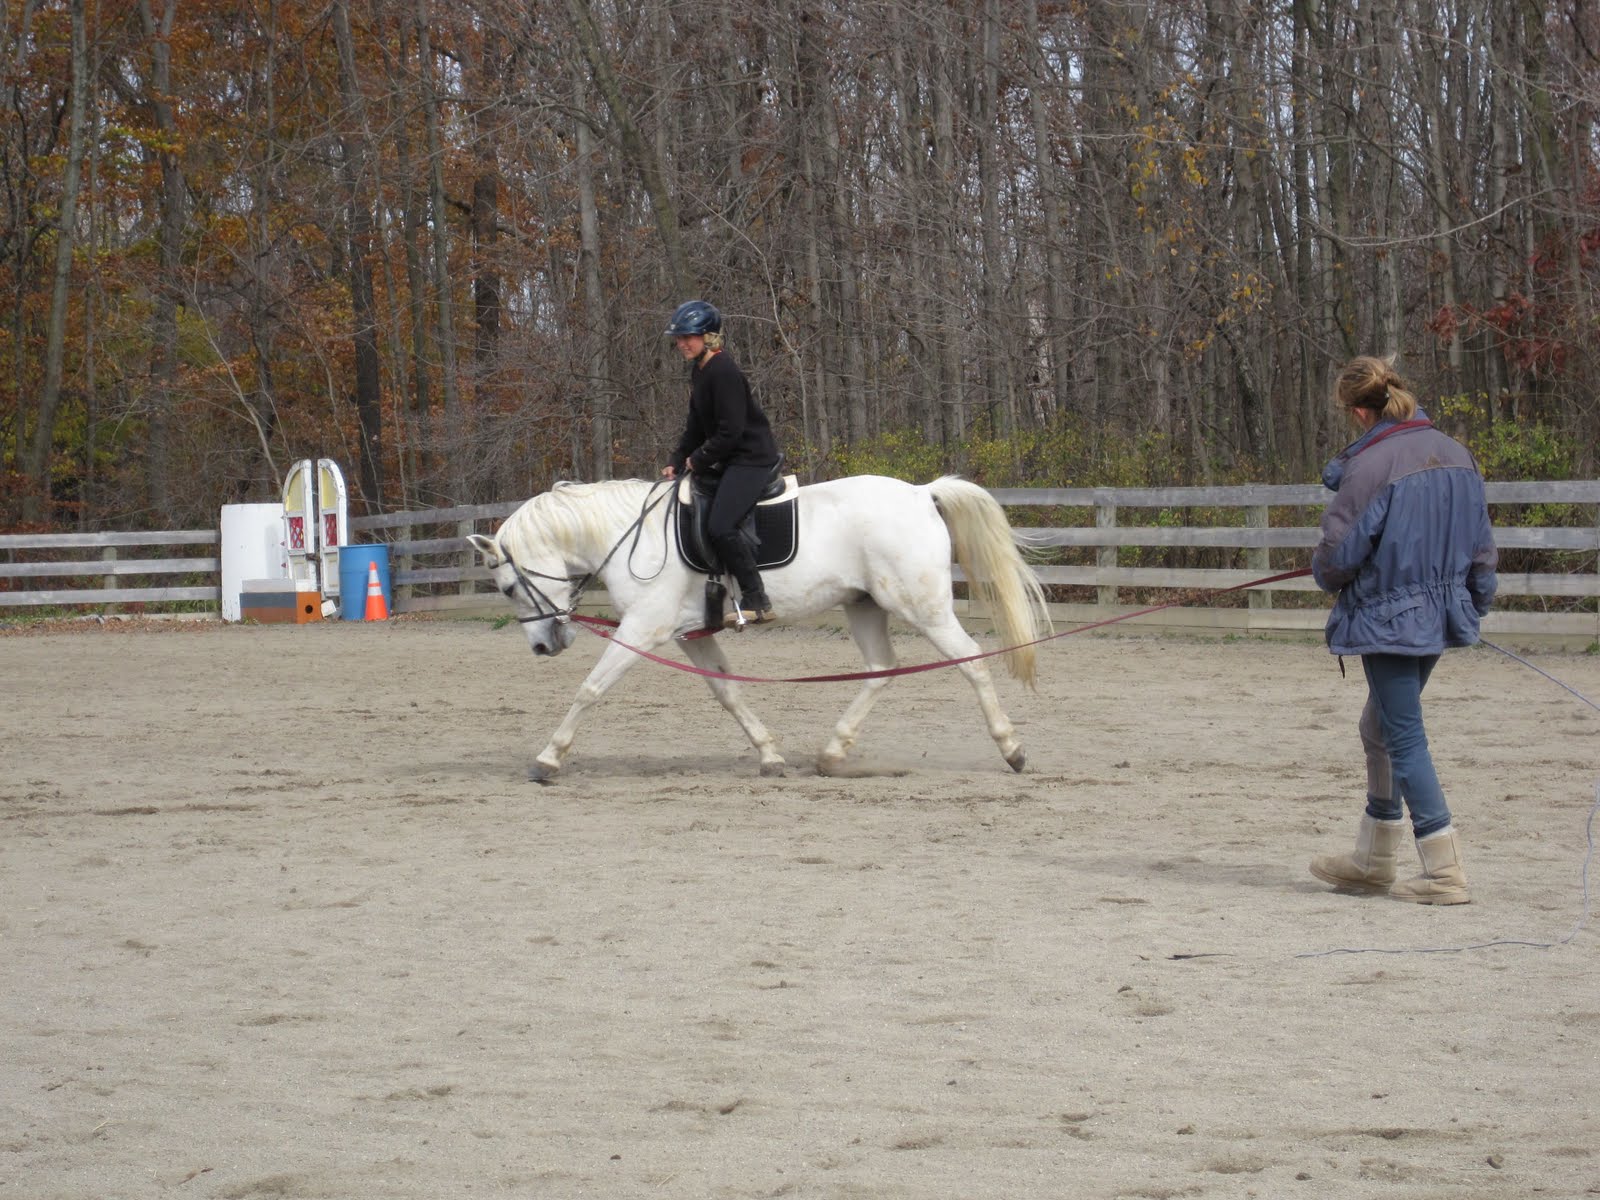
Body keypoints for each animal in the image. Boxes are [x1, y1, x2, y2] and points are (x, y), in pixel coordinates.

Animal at [467, 474, 1050, 782]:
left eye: (507, 587)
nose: (543, 646)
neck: (631, 539)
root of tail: (920, 493)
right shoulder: (692, 635)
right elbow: (728, 693)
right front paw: (769, 754)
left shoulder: (642, 630)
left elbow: (590, 689)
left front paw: (548, 758)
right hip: (864, 605)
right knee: (881, 669)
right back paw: (832, 753)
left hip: (922, 607)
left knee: (972, 663)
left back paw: (1012, 749)